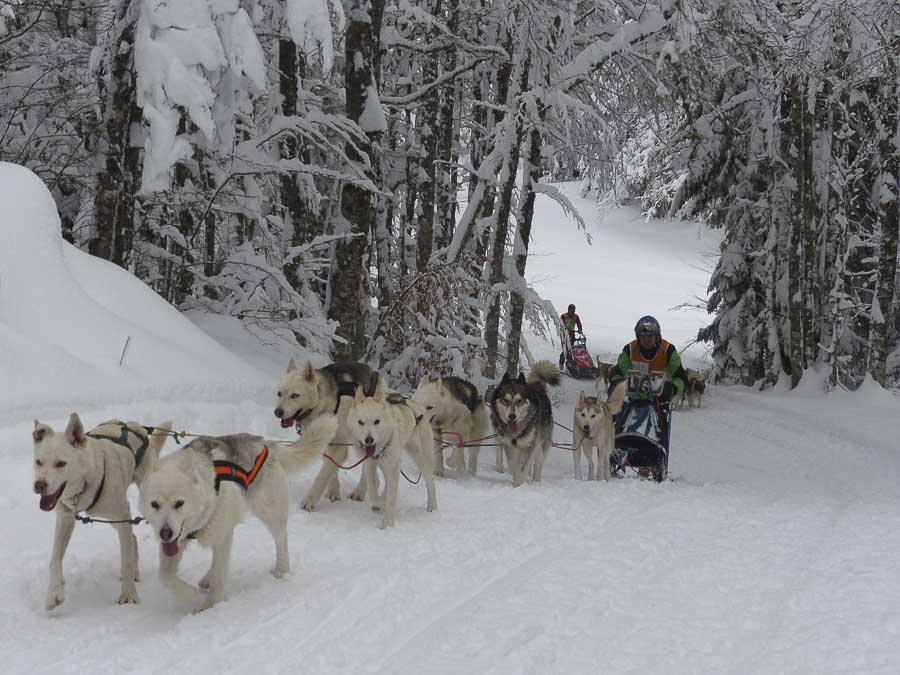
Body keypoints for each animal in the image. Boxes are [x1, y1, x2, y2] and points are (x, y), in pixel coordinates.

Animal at [33, 414, 172, 608]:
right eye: (38, 462)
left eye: (61, 463)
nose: (39, 485)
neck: (86, 480)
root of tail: (134, 426)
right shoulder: (65, 519)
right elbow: (55, 560)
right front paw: (54, 594)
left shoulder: (122, 514)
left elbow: (126, 561)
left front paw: (129, 595)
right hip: (115, 521)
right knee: (132, 538)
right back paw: (136, 571)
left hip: (136, 509)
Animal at [139, 418, 336, 612]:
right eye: (154, 504)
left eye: (179, 503)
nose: (165, 533)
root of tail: (265, 443)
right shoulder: (178, 542)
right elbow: (165, 577)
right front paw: (191, 596)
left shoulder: (222, 536)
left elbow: (219, 576)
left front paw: (209, 607)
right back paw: (207, 579)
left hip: (269, 512)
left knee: (281, 539)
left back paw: (282, 570)